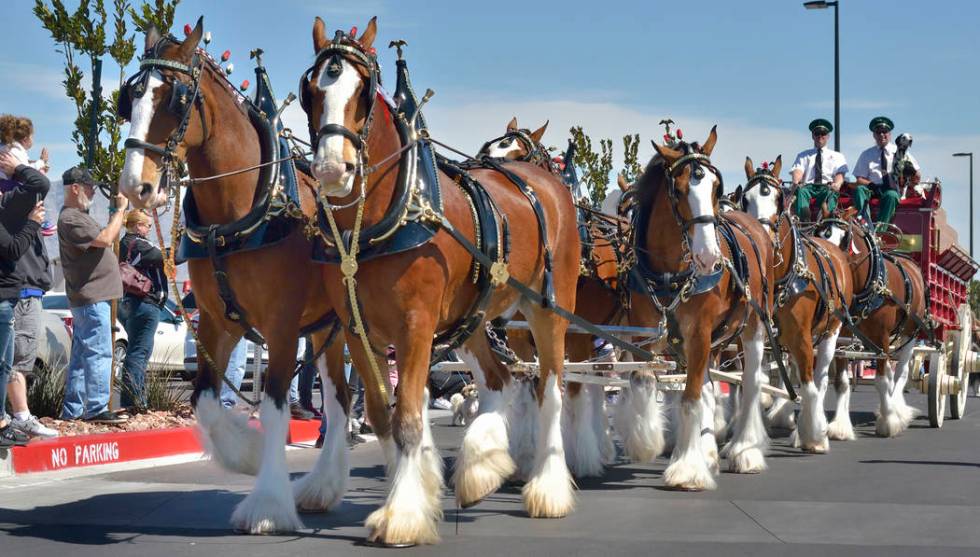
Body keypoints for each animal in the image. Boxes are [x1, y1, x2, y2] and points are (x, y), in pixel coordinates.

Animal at [115, 21, 390, 532]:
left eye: (174, 98)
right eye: (131, 97)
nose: (132, 186)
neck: (239, 214)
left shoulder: (281, 327)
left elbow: (276, 406)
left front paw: (267, 503)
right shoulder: (216, 322)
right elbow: (204, 402)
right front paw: (248, 453)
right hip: (329, 327)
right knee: (341, 400)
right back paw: (323, 486)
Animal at [298, 16, 580, 544]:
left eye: (362, 92)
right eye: (309, 91)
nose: (330, 169)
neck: (379, 220)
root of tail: (545, 184)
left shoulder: (415, 326)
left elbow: (409, 415)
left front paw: (402, 514)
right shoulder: (357, 329)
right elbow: (382, 415)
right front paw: (413, 491)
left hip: (548, 309)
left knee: (549, 389)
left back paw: (548, 489)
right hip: (471, 320)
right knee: (499, 380)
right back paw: (481, 468)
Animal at [632, 128, 776, 484]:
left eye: (715, 187)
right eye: (679, 190)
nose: (710, 258)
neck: (670, 274)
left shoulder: (698, 333)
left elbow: (690, 398)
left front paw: (686, 468)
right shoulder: (646, 333)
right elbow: (642, 380)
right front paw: (646, 441)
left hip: (752, 326)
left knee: (751, 383)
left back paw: (745, 450)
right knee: (710, 386)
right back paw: (709, 451)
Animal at [732, 156, 852, 452]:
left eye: (778, 199)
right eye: (745, 200)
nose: (759, 238)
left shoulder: (801, 335)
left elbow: (810, 383)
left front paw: (814, 434)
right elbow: (754, 379)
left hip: (832, 331)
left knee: (820, 378)